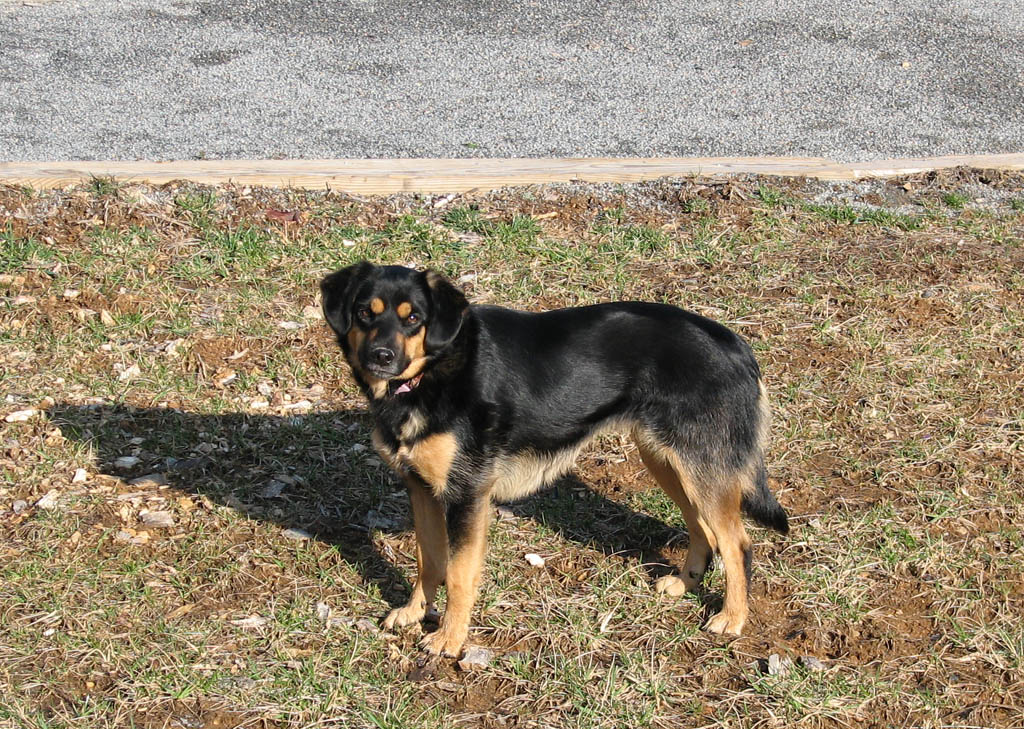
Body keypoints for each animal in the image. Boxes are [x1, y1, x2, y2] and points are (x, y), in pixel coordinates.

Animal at [323, 260, 786, 655]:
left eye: (413, 318)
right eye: (364, 313)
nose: (381, 357)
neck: (432, 372)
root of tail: (738, 347)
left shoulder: (467, 495)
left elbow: (458, 575)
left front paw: (449, 640)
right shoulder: (422, 489)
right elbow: (428, 560)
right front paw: (414, 613)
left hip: (700, 467)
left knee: (738, 544)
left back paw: (732, 618)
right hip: (669, 460)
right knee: (703, 529)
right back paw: (685, 585)